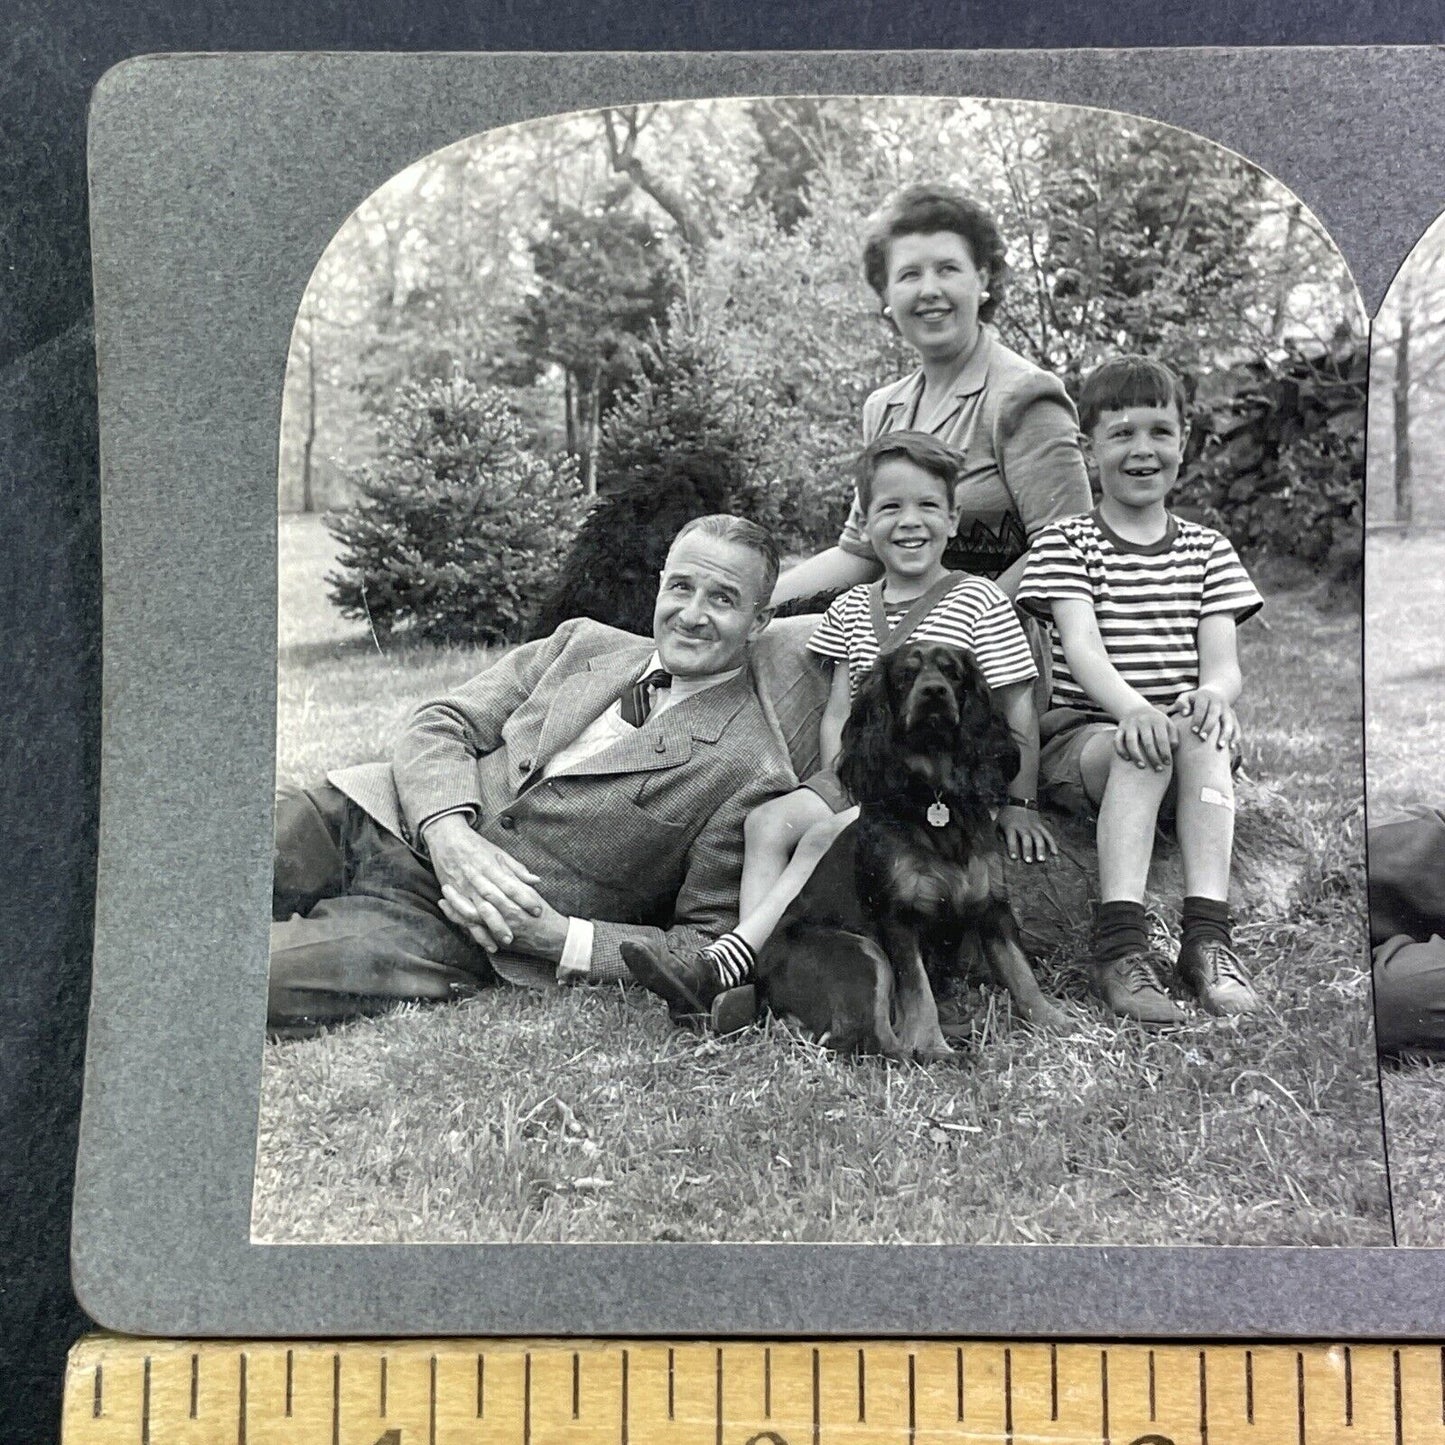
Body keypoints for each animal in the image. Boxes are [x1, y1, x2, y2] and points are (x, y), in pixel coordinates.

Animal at [757, 644, 1063, 1063]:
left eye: (953, 673)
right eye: (905, 675)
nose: (934, 692)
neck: (935, 797)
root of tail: (764, 985)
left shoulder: (991, 907)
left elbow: (1022, 974)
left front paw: (1058, 1023)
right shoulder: (898, 917)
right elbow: (918, 991)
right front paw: (932, 1047)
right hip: (860, 952)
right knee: (872, 1039)